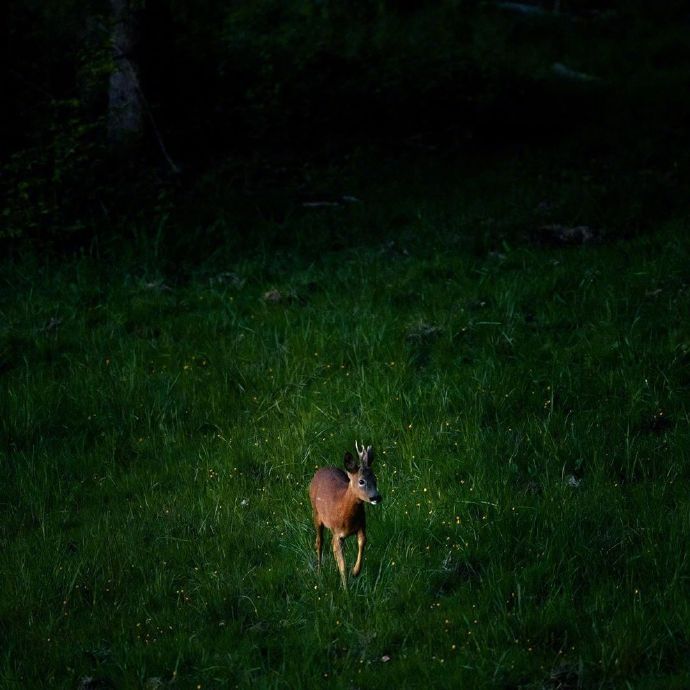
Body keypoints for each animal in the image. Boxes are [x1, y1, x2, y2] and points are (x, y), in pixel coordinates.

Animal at [308, 440, 382, 584]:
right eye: (361, 481)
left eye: (375, 478)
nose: (376, 497)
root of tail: (320, 470)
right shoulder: (337, 533)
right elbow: (342, 566)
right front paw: (345, 587)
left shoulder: (362, 525)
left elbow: (362, 542)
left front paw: (355, 571)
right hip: (316, 514)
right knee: (319, 542)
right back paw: (319, 572)